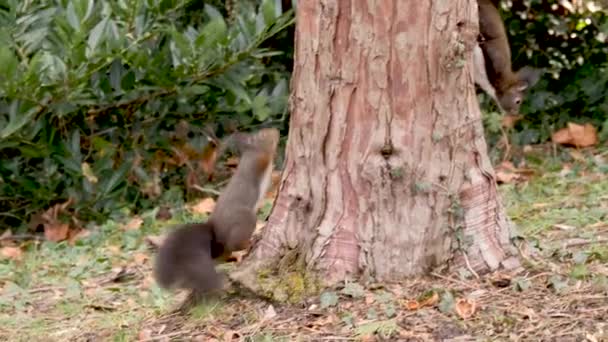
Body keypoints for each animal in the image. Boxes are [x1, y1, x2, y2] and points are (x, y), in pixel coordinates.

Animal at [156, 128, 282, 302]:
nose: (276, 131)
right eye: (263, 135)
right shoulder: (259, 161)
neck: (251, 153)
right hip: (245, 219)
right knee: (235, 244)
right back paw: (249, 243)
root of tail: (216, 234)